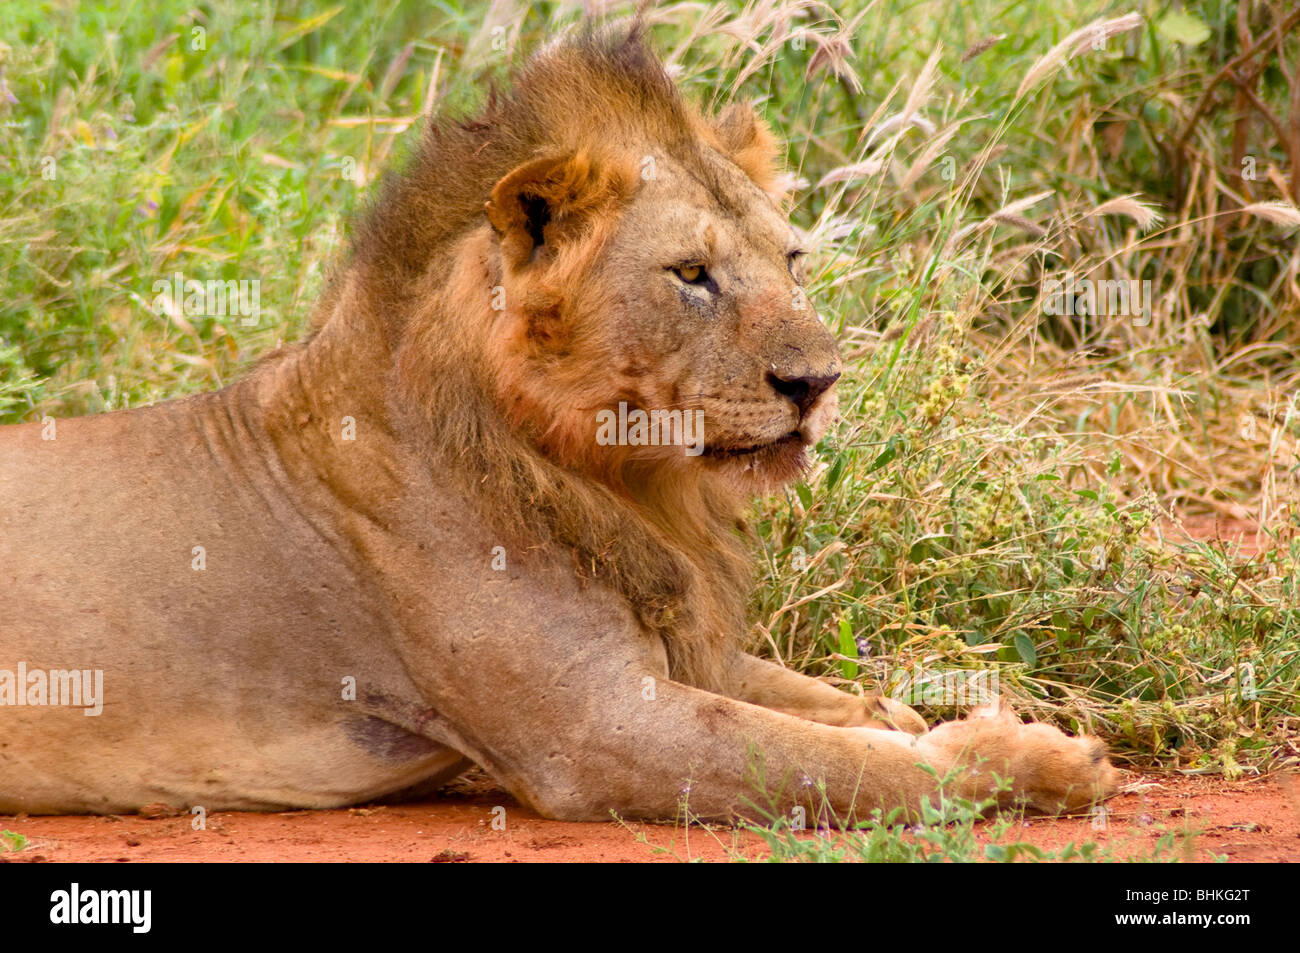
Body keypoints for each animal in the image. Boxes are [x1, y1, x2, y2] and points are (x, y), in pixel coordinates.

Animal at [0, 27, 1118, 816]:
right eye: (691, 275)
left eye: (791, 259)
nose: (818, 380)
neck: (625, 480)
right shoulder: (591, 729)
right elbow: (836, 764)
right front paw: (1036, 759)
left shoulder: (680, 651)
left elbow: (827, 704)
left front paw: (920, 712)